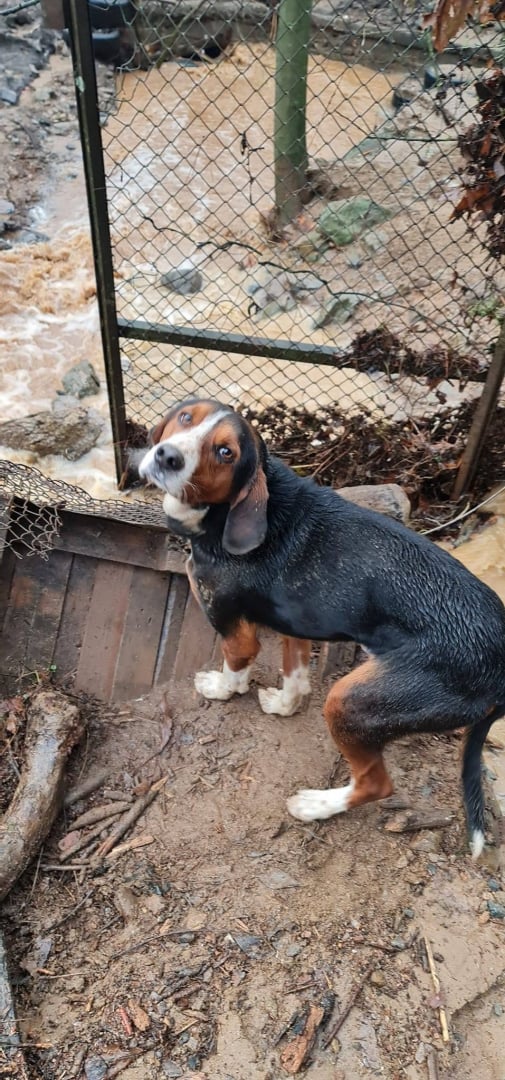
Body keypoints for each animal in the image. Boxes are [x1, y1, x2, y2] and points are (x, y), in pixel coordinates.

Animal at [138, 393, 505, 855]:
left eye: (226, 453)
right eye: (186, 418)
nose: (166, 456)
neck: (229, 513)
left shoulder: (232, 626)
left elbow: (235, 666)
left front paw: (221, 690)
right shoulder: (296, 622)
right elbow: (296, 676)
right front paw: (285, 705)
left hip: (351, 701)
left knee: (377, 784)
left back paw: (315, 806)